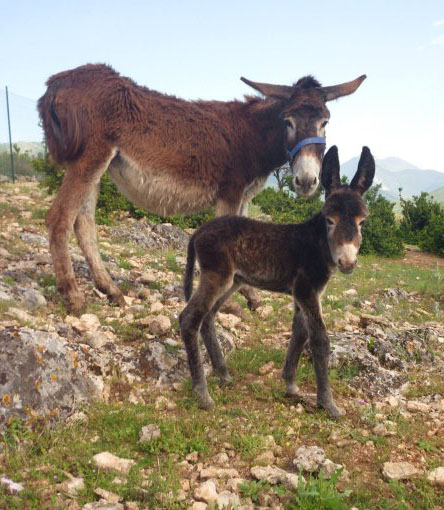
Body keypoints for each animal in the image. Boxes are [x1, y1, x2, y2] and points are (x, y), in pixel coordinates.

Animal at [179, 145, 376, 416]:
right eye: (330, 220)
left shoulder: (305, 294)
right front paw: (328, 404)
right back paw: (203, 394)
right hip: (216, 276)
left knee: (207, 317)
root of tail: (199, 230)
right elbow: (320, 340)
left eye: (362, 222)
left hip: (232, 281)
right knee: (189, 318)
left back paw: (223, 374)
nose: (347, 262)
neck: (317, 243)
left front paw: (291, 386)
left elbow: (299, 334)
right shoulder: (306, 290)